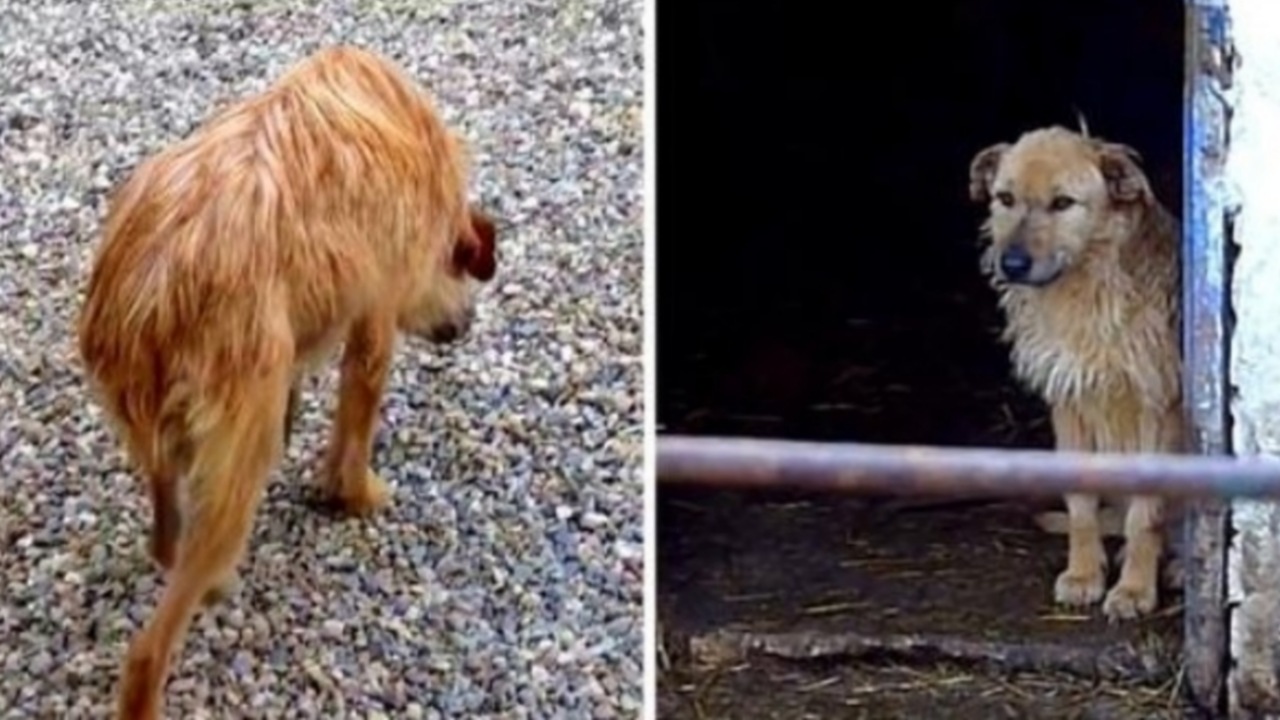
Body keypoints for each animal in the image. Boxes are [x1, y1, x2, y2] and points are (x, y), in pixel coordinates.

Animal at [76, 46, 499, 717]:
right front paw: (355, 494)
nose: (466, 325)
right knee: (148, 650)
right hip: (238, 462)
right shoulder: (376, 317)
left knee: (167, 538)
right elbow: (357, 422)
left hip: (166, 438)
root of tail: (148, 296)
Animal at [967, 126, 1187, 620]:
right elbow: (1081, 503)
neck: (1086, 286)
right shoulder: (1069, 401)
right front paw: (1086, 574)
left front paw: (1134, 589)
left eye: (1063, 202)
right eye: (1005, 198)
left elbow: (1147, 514)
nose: (1012, 264)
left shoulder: (1158, 406)